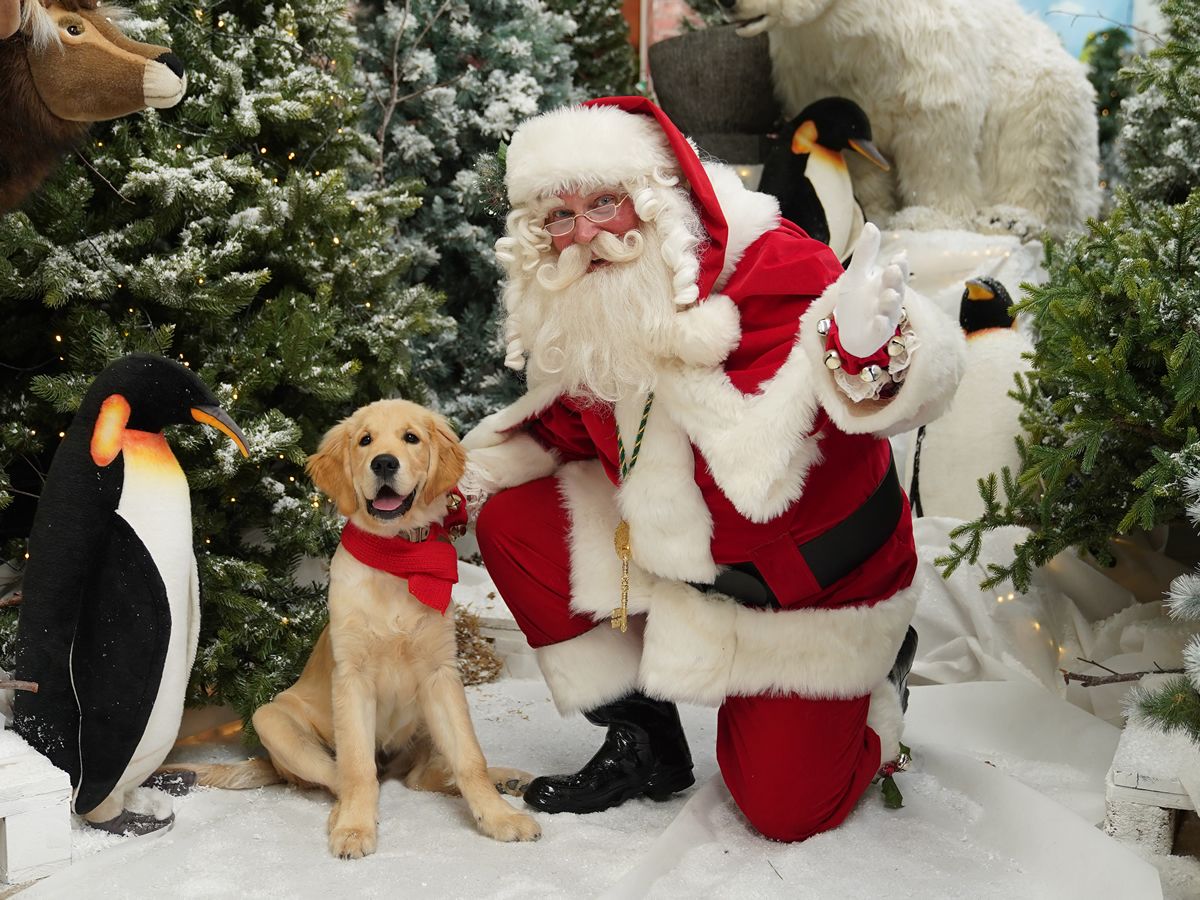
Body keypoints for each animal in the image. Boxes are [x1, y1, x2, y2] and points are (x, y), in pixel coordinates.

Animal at [166, 400, 542, 859]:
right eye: (365, 440)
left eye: (411, 438)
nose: (384, 462)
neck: (396, 557)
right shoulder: (353, 678)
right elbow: (357, 768)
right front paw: (354, 827)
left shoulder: (442, 675)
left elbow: (470, 758)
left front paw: (500, 816)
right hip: (270, 718)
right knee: (342, 775)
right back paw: (341, 814)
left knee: (424, 776)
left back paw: (507, 779)